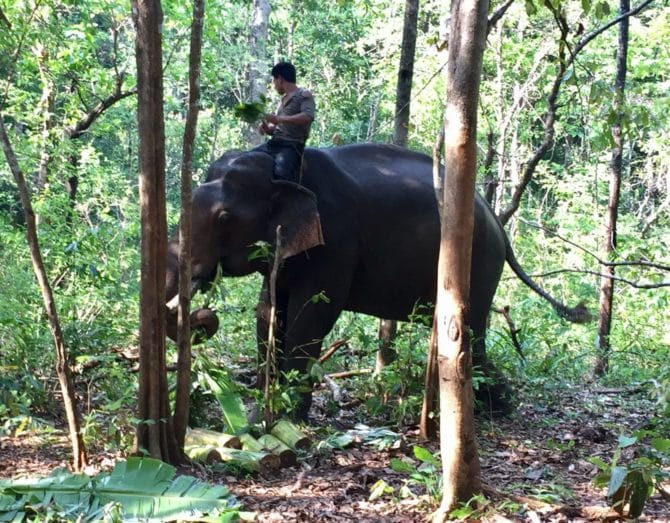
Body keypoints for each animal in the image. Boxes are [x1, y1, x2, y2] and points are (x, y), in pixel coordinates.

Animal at [165, 141, 592, 420]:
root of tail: (498, 223)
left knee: (471, 329)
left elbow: (311, 315)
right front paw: (261, 417)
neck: (283, 172)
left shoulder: (336, 239)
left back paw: (492, 410)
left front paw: (288, 420)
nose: (203, 317)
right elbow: (268, 311)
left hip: (479, 261)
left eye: (224, 217)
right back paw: (494, 406)